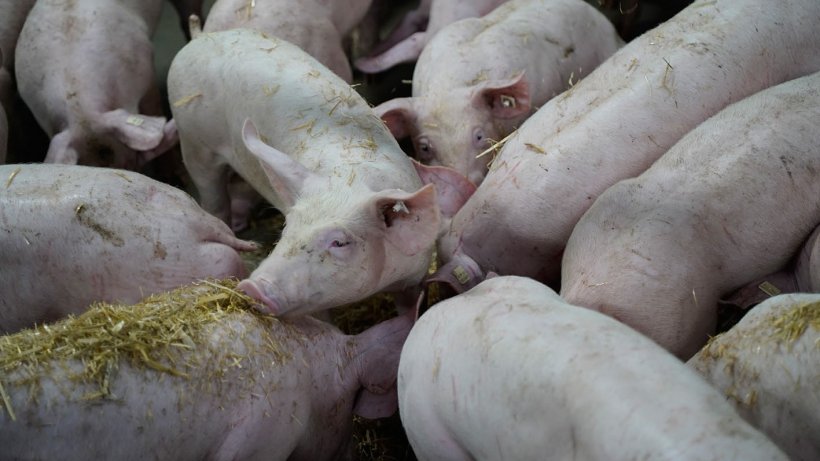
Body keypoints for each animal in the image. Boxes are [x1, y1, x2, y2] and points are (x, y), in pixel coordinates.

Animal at [167, 29, 465, 317]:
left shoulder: (413, 277)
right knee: (213, 196)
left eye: (339, 242)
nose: (253, 287)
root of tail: (198, 39)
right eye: (287, 226)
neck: (351, 180)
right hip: (194, 144)